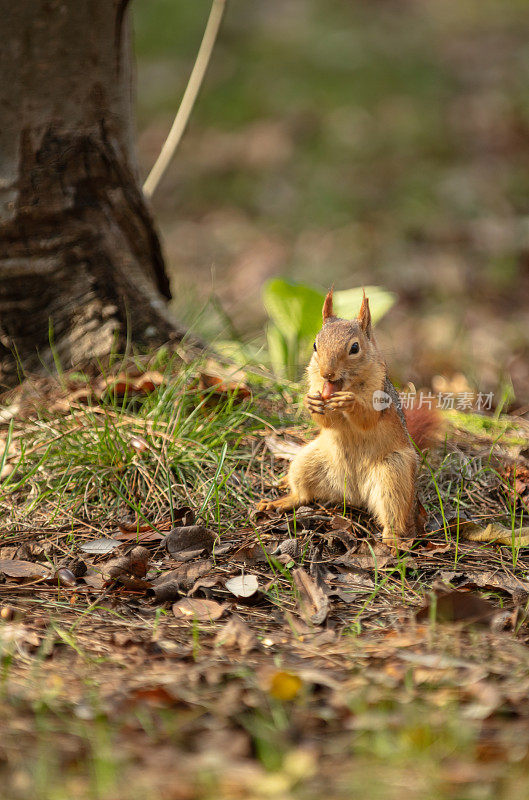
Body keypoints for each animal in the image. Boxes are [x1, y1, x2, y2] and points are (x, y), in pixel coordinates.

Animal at [256, 290, 438, 552]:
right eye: (315, 345)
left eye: (354, 347)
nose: (327, 373)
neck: (345, 385)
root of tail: (353, 495)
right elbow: (327, 422)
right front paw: (311, 402)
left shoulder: (379, 397)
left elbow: (367, 419)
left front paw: (349, 403)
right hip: (306, 461)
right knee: (303, 495)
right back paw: (281, 501)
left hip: (394, 473)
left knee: (394, 513)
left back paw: (392, 539)